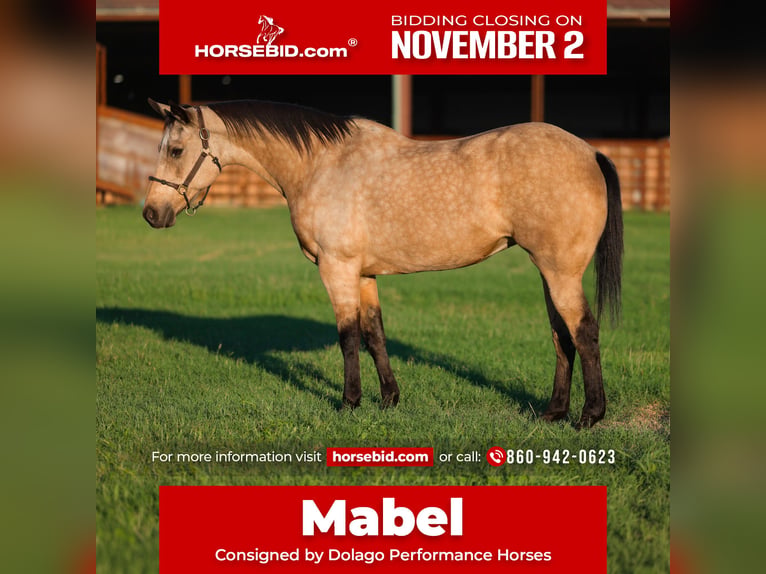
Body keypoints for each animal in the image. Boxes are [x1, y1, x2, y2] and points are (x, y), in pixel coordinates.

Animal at [143, 99, 623, 429]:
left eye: (176, 150)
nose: (151, 213)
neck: (321, 164)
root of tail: (589, 152)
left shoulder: (336, 269)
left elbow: (348, 338)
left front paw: (349, 403)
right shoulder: (364, 274)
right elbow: (375, 334)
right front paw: (389, 399)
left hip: (560, 272)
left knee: (584, 331)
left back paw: (589, 416)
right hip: (548, 271)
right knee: (562, 336)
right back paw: (553, 412)